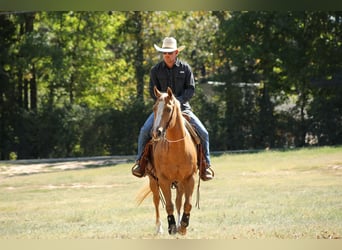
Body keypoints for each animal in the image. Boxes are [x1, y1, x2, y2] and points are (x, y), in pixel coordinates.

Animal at [137, 87, 198, 235]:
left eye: (169, 109)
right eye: (154, 108)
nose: (156, 133)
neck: (177, 149)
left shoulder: (190, 178)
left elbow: (187, 203)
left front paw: (183, 225)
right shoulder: (163, 179)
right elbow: (169, 205)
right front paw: (172, 226)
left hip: (180, 182)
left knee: (178, 201)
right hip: (153, 180)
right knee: (156, 200)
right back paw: (159, 228)